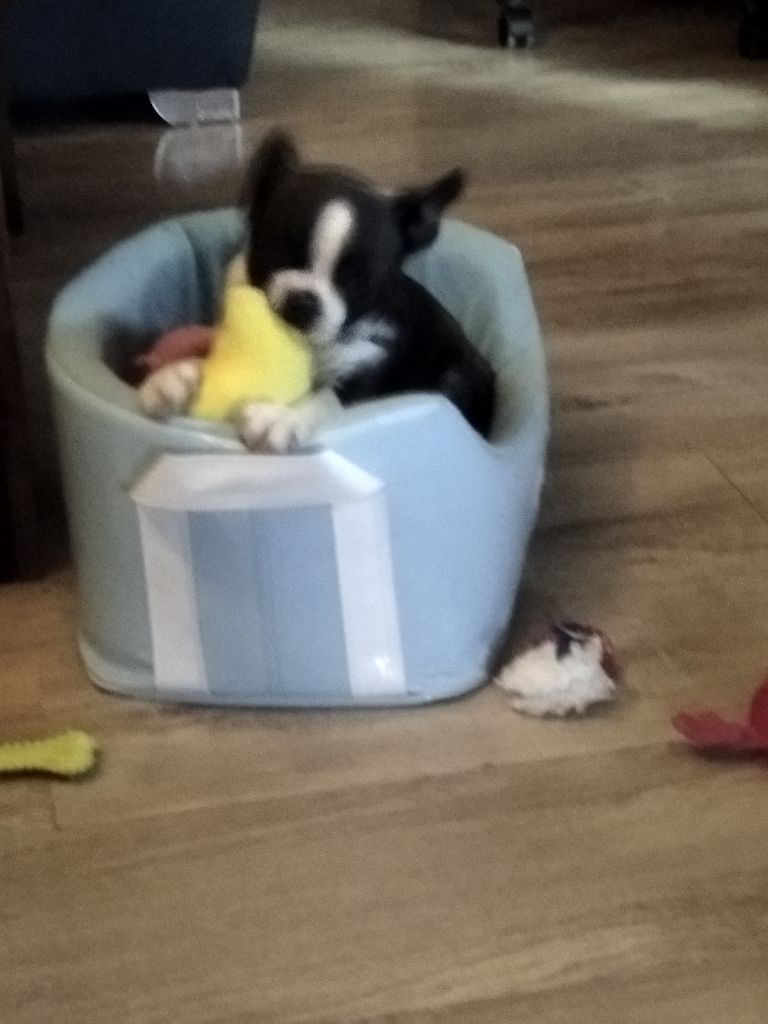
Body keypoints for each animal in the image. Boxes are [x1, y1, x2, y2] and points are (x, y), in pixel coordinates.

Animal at [138, 131, 496, 451]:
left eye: (359, 280)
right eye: (273, 252)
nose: (304, 302)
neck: (315, 348)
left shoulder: (370, 362)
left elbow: (329, 397)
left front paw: (283, 417)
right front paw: (176, 377)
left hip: (455, 376)